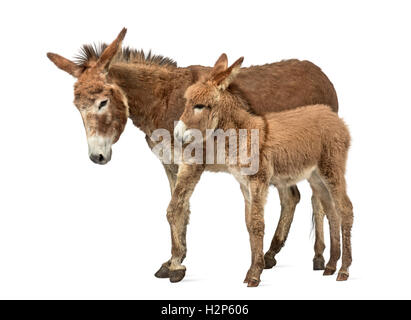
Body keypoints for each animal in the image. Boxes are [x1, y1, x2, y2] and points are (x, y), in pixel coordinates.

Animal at [175, 55, 354, 288]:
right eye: (186, 102)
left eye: (200, 106)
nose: (177, 135)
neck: (242, 134)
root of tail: (335, 118)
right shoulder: (244, 185)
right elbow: (250, 225)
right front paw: (252, 270)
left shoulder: (258, 181)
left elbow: (258, 224)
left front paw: (255, 276)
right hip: (316, 177)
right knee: (331, 211)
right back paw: (331, 265)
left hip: (332, 169)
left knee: (345, 209)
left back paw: (344, 270)